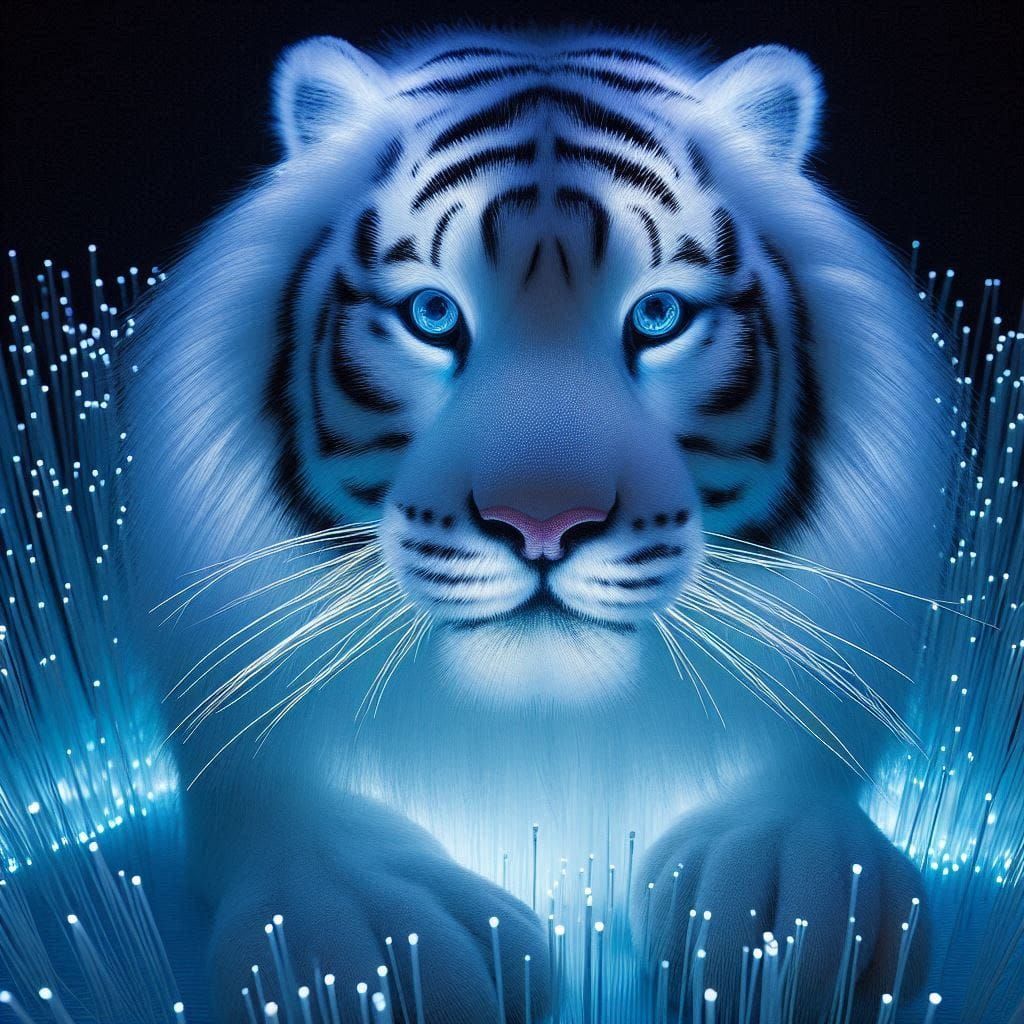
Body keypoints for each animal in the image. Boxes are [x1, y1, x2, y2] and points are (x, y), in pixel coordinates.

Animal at [127, 27, 948, 1022]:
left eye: (658, 315)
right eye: (433, 314)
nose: (544, 523)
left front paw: (791, 909)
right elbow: (285, 820)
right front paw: (374, 946)